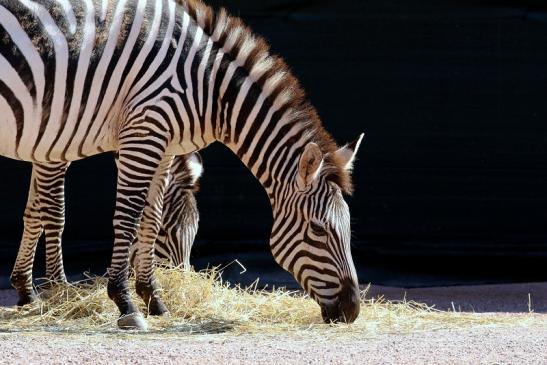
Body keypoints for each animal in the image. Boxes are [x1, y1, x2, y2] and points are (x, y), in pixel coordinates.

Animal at [10, 152, 203, 306]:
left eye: (195, 232)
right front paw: (58, 287)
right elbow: (54, 216)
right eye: (162, 232)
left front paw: (25, 289)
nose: (183, 288)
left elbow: (34, 216)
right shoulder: (50, 156)